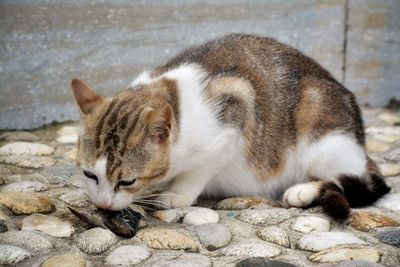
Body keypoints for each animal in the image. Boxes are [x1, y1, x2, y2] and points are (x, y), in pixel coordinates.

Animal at [70, 33, 390, 220]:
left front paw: (177, 194)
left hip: (322, 131)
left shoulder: (234, 116)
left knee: (361, 179)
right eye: (89, 174)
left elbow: (198, 171)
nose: (103, 205)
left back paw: (303, 191)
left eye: (127, 181)